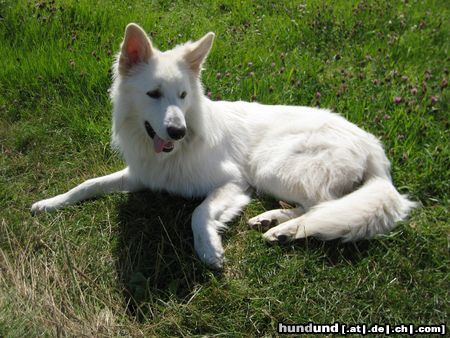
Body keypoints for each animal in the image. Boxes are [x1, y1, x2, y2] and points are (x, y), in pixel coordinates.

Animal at [33, 23, 416, 270]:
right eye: (153, 94)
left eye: (183, 96)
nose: (177, 132)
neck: (177, 151)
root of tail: (374, 147)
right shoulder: (141, 175)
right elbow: (87, 184)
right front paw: (50, 202)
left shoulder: (233, 182)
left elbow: (199, 212)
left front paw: (208, 249)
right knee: (319, 206)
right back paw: (273, 221)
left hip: (270, 166)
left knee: (326, 206)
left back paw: (283, 228)